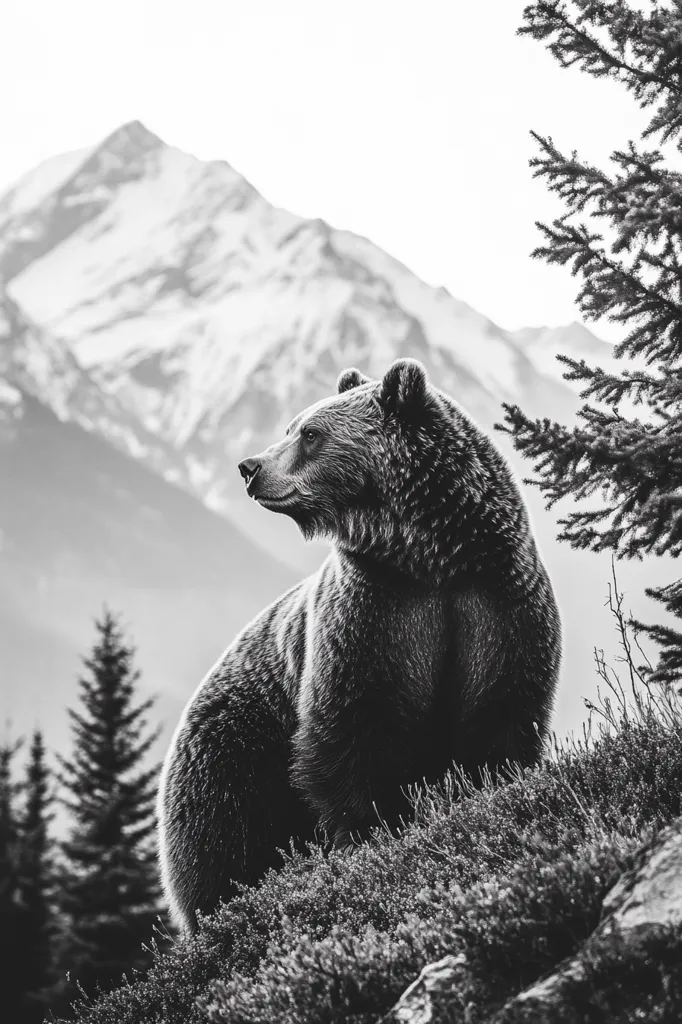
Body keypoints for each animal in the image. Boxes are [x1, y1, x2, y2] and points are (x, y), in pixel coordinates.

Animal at [157, 358, 562, 933]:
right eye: (293, 426)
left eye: (309, 433)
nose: (250, 467)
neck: (430, 556)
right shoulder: (370, 615)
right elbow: (348, 729)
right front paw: (366, 836)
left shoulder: (495, 600)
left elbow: (501, 713)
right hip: (233, 753)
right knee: (220, 845)